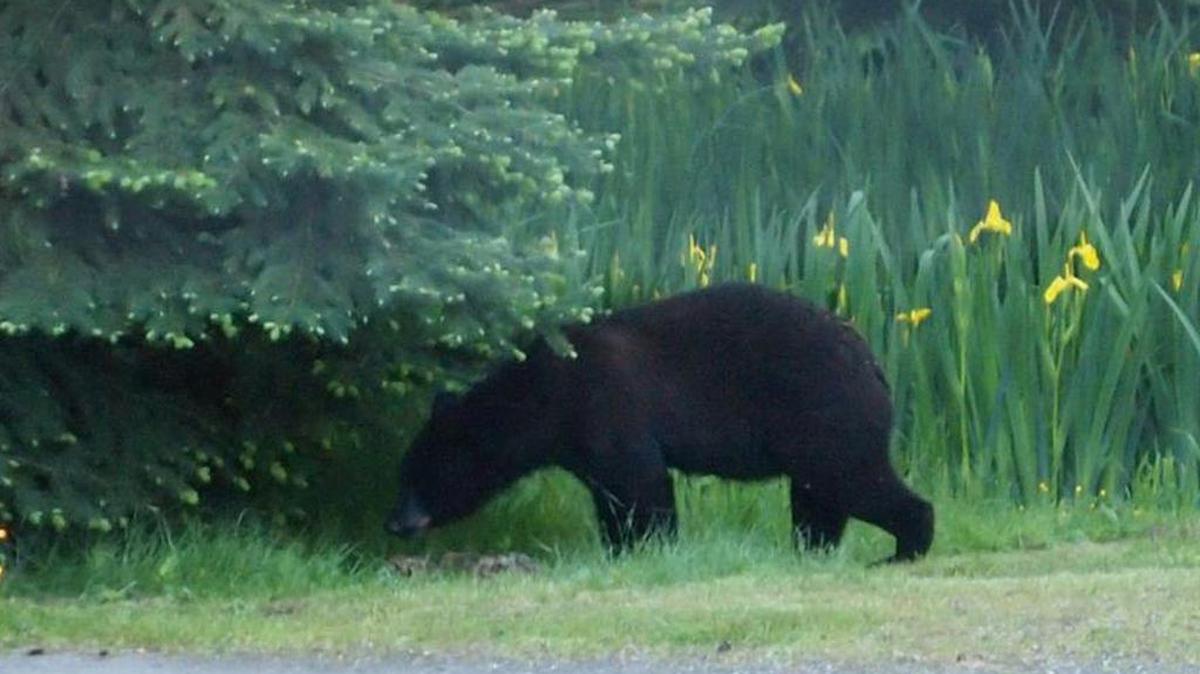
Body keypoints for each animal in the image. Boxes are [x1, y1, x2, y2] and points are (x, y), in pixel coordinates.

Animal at [387, 283, 934, 562]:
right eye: (404, 474)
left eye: (418, 476)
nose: (395, 522)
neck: (546, 397)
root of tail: (873, 362)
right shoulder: (580, 442)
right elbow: (609, 494)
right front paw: (618, 549)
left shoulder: (606, 404)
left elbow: (640, 481)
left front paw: (654, 547)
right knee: (818, 495)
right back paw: (809, 550)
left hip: (825, 411)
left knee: (851, 479)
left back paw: (904, 547)